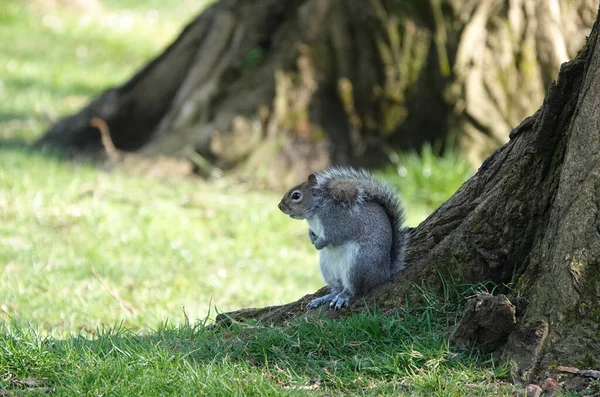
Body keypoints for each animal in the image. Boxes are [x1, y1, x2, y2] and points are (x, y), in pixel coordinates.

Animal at [278, 166, 408, 310]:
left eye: (296, 195)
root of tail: (383, 274)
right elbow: (312, 233)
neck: (315, 211)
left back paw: (342, 297)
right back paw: (324, 298)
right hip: (327, 268)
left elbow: (334, 237)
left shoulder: (339, 223)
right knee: (337, 288)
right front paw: (312, 238)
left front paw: (318, 243)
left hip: (359, 265)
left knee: (354, 290)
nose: (280, 206)